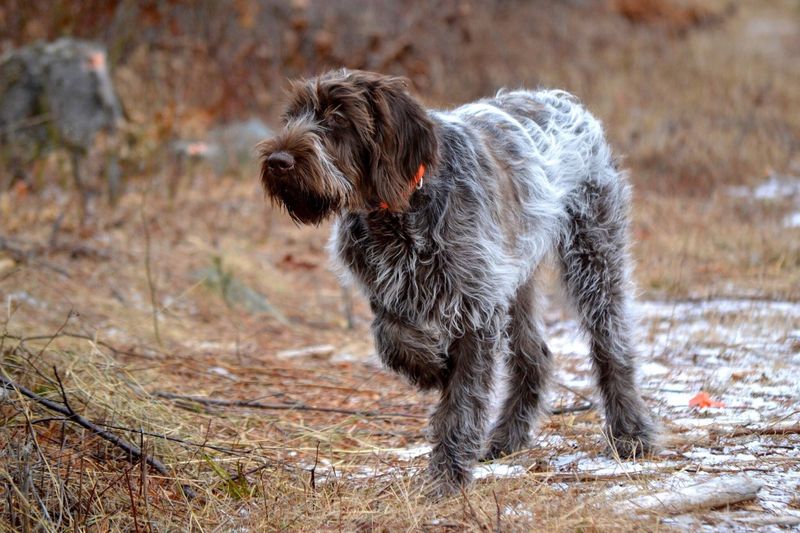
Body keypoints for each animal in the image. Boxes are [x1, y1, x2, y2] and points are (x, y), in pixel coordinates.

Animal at [256, 68, 656, 492]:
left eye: (336, 116)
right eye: (292, 116)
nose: (278, 161)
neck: (398, 210)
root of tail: (564, 101)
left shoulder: (477, 307)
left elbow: (462, 399)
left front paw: (448, 477)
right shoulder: (391, 290)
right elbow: (391, 337)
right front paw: (434, 368)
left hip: (593, 254)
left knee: (612, 346)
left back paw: (631, 434)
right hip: (517, 277)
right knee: (535, 356)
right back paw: (507, 438)